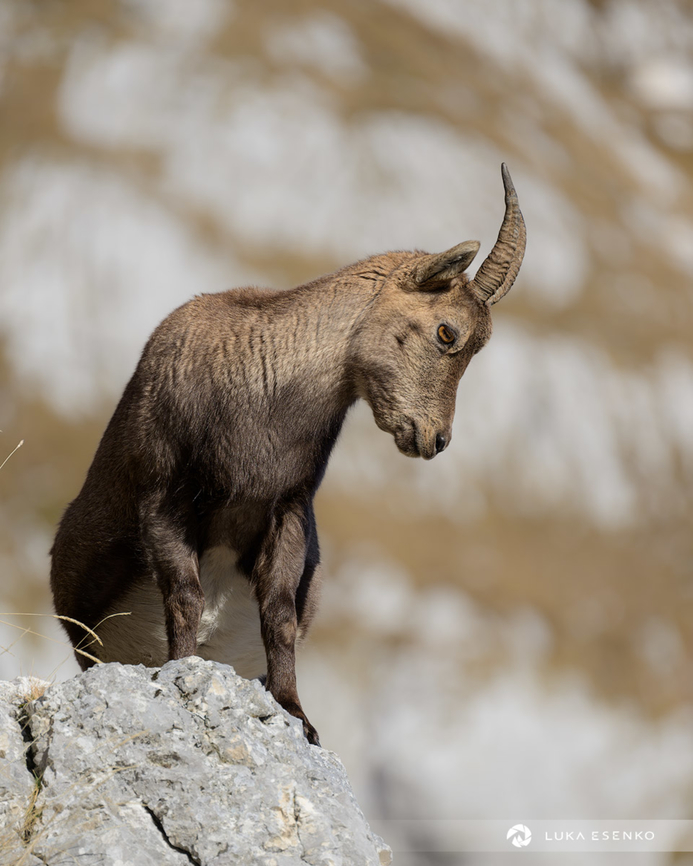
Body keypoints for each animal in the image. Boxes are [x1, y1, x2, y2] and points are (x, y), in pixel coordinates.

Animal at [50, 164, 526, 745]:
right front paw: (181, 673)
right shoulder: (165, 498)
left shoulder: (289, 512)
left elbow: (278, 617)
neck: (264, 400)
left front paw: (298, 715)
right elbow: (184, 597)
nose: (434, 439)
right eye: (446, 332)